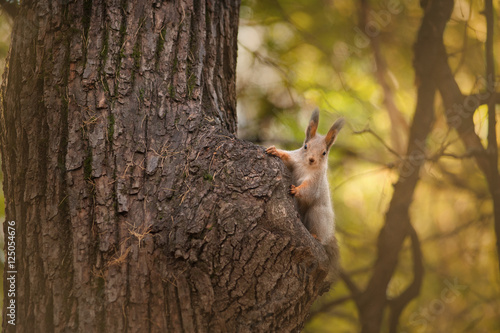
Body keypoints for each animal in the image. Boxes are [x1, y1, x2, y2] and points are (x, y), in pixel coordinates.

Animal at [266, 108, 344, 278]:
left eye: (324, 153)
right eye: (305, 146)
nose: (311, 160)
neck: (306, 166)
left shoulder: (315, 182)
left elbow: (308, 191)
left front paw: (296, 190)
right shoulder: (294, 160)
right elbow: (287, 157)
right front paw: (275, 151)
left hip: (318, 215)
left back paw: (316, 236)